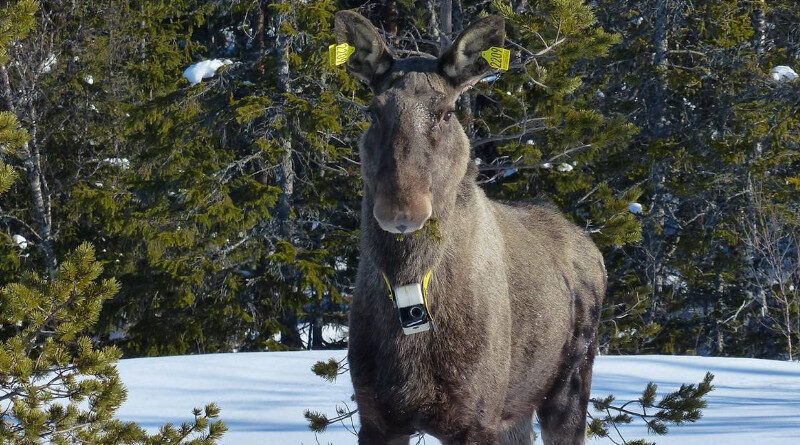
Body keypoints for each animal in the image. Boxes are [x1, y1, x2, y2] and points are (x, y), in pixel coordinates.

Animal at [338, 10, 608, 444]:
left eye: (447, 112)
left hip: (569, 382)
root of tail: (594, 252)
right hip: (515, 412)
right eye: (373, 112)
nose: (401, 209)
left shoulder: (475, 418)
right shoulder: (377, 418)